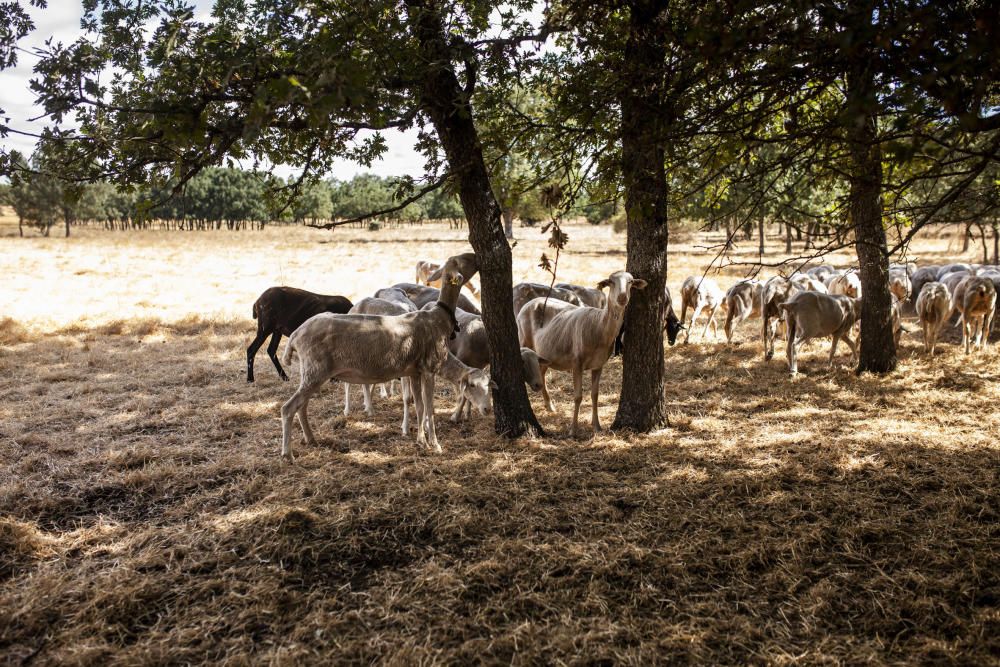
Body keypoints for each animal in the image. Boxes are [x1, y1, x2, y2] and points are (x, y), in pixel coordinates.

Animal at [278, 250, 480, 460]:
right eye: (463, 260)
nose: (476, 257)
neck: (439, 318)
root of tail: (296, 335)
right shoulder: (429, 369)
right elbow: (429, 408)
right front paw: (435, 444)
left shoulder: (414, 372)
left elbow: (419, 406)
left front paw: (421, 441)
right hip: (316, 370)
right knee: (288, 408)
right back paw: (287, 454)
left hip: (311, 372)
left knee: (302, 406)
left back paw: (311, 439)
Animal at [516, 272, 648, 438]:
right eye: (611, 282)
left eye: (630, 282)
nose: (622, 297)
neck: (599, 326)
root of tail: (530, 302)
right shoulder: (576, 363)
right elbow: (578, 396)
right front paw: (573, 430)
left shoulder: (598, 365)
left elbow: (595, 395)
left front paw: (597, 426)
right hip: (524, 340)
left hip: (545, 352)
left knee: (542, 373)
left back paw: (550, 406)